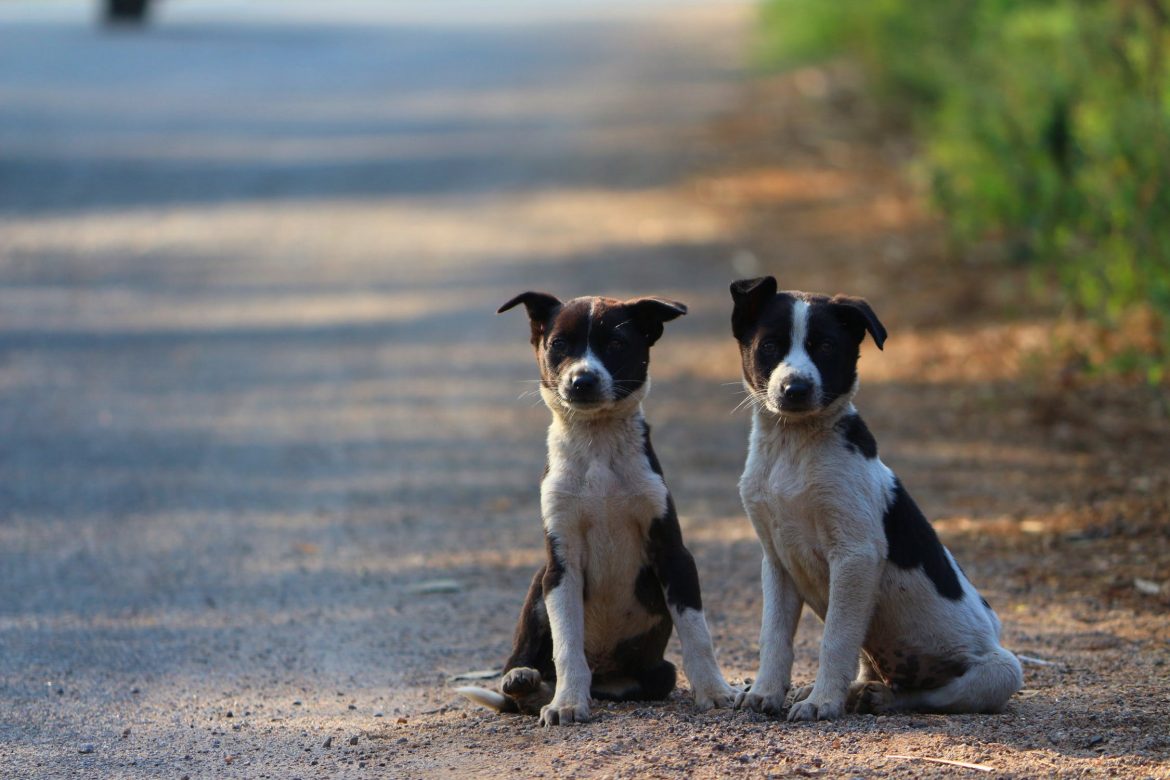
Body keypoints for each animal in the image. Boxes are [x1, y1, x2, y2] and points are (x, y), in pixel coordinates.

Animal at [456, 291, 730, 725]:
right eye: (558, 345)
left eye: (616, 344)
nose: (581, 381)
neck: (597, 441)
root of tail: (605, 675)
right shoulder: (562, 565)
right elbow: (567, 645)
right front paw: (567, 703)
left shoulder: (674, 554)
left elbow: (696, 631)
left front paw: (715, 691)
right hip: (538, 581)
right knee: (521, 672)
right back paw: (527, 683)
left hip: (658, 673)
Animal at [725, 277, 1020, 725]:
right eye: (770, 346)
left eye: (827, 347)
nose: (796, 389)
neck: (793, 447)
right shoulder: (776, 561)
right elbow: (773, 637)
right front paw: (765, 693)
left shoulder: (855, 554)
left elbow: (834, 639)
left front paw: (822, 703)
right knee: (871, 669)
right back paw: (856, 691)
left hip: (1001, 668)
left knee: (929, 696)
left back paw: (876, 699)